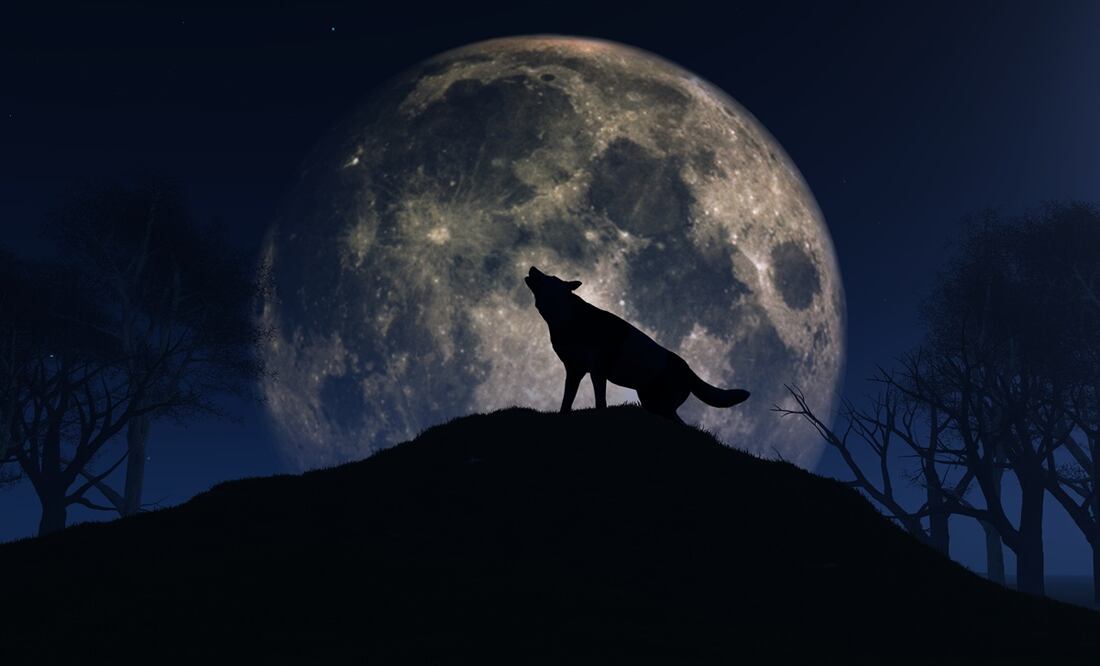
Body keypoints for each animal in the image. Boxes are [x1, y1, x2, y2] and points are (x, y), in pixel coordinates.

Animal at [524, 266, 750, 422]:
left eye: (551, 277)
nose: (533, 267)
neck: (566, 316)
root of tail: (689, 371)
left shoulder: (597, 372)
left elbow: (600, 403)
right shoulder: (575, 371)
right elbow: (566, 403)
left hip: (659, 405)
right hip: (651, 402)